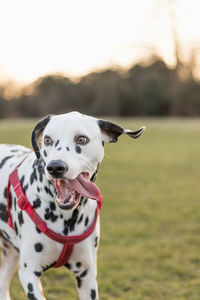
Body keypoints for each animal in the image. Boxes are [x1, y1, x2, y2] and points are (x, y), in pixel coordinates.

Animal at [0, 112, 145, 300]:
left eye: (81, 139)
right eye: (47, 140)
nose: (55, 167)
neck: (66, 217)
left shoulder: (87, 276)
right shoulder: (29, 273)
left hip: (10, 255)